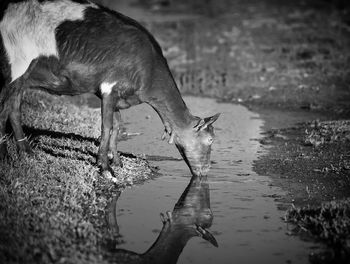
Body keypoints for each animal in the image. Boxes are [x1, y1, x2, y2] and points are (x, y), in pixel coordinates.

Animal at [0, 0, 219, 177]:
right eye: (210, 140)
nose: (205, 171)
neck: (148, 71)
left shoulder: (117, 95)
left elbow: (117, 127)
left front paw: (117, 161)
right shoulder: (110, 88)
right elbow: (106, 127)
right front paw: (105, 168)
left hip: (21, 77)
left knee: (14, 109)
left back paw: (26, 152)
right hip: (16, 63)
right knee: (3, 110)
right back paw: (6, 156)